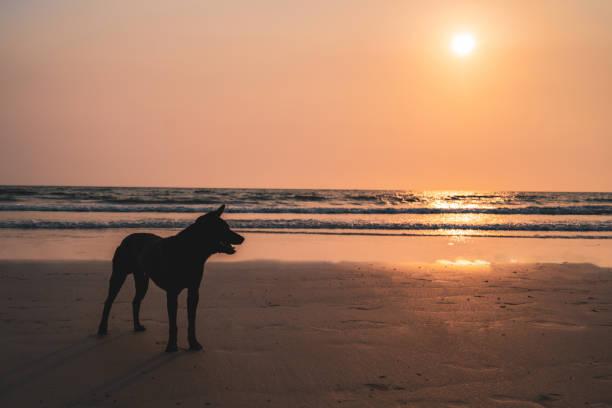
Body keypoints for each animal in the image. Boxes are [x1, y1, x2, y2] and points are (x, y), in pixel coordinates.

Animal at [97, 206, 245, 352]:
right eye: (223, 228)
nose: (242, 238)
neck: (191, 250)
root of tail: (125, 240)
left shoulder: (193, 291)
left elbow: (192, 321)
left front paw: (193, 343)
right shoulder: (172, 293)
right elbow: (173, 323)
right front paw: (172, 346)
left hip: (142, 280)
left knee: (136, 301)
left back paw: (137, 326)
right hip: (119, 274)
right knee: (108, 301)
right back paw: (102, 328)